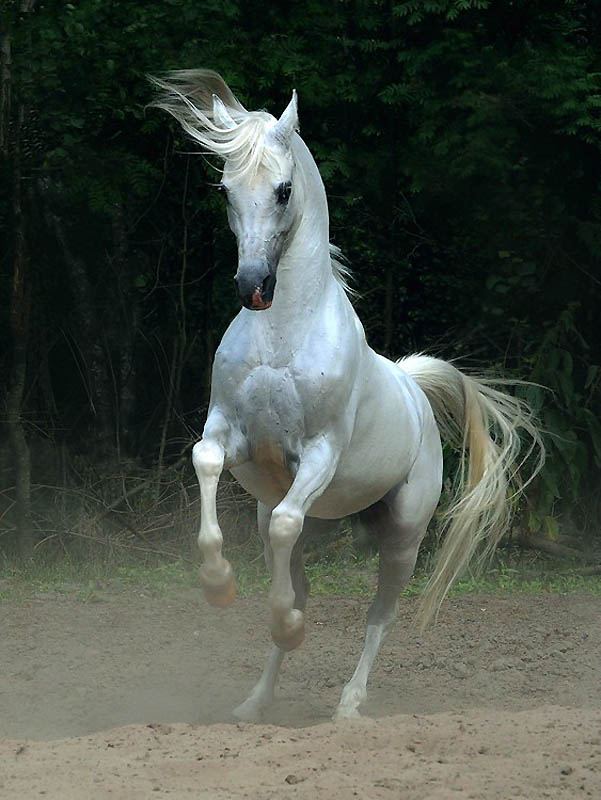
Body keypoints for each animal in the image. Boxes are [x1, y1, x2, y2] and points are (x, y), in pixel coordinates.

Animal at [151, 72, 544, 720]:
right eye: (226, 188)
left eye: (283, 189)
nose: (252, 286)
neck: (284, 333)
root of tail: (413, 388)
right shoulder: (229, 431)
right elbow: (207, 464)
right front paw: (219, 585)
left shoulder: (319, 453)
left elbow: (289, 533)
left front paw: (285, 625)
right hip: (310, 517)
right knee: (297, 570)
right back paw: (255, 702)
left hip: (403, 538)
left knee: (378, 615)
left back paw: (348, 705)